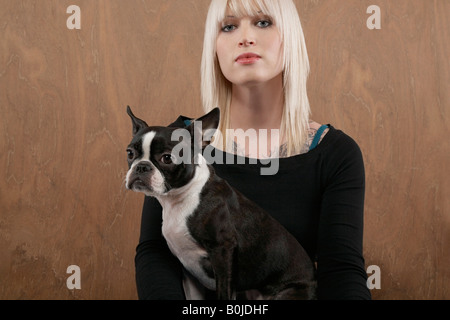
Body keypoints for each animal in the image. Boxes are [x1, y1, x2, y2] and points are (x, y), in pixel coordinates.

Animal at [125, 106, 316, 298]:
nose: (141, 166)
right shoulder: (188, 269)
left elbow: (224, 292)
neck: (181, 198)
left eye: (167, 158)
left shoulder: (223, 250)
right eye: (130, 153)